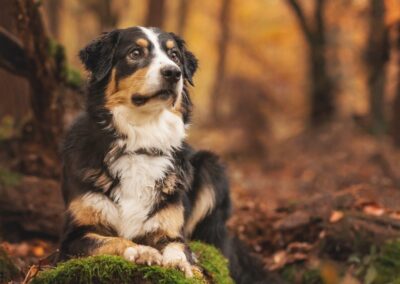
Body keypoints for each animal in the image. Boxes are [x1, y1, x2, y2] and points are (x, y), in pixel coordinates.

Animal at [58, 26, 282, 284]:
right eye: (135, 53)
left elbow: (178, 247)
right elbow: (112, 240)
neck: (141, 142)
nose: (174, 73)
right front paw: (142, 251)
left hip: (211, 165)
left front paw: (180, 263)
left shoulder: (171, 230)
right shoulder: (73, 237)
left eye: (174, 55)